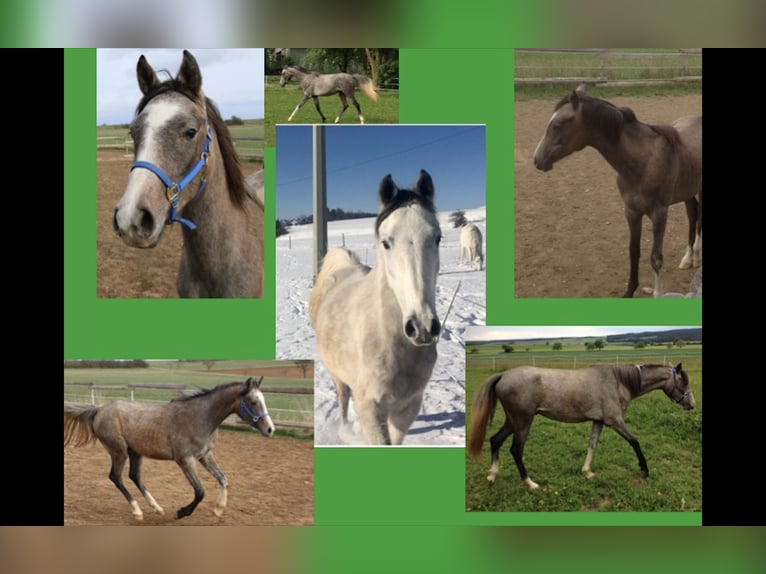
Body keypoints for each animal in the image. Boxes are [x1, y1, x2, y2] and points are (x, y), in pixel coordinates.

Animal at [63, 377, 274, 520]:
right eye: (253, 402)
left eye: (263, 400)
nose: (270, 429)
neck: (200, 417)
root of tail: (98, 409)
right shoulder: (185, 460)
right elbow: (200, 491)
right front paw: (182, 512)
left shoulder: (205, 455)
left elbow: (223, 479)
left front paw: (218, 509)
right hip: (118, 451)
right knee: (116, 477)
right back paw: (137, 511)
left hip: (135, 452)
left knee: (134, 476)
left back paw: (157, 508)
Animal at [309, 170, 442, 445]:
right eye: (386, 242)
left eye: (437, 238)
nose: (422, 327)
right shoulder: (370, 407)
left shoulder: (408, 407)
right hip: (338, 376)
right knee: (343, 398)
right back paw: (345, 429)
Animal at [467, 363, 695, 487]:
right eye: (683, 382)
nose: (692, 404)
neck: (619, 381)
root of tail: (504, 375)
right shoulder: (615, 421)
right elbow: (635, 442)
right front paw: (645, 470)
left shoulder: (599, 422)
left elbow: (592, 446)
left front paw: (587, 472)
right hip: (523, 421)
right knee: (516, 450)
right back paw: (529, 483)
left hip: (512, 421)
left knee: (495, 440)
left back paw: (492, 475)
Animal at [532, 87, 702, 297]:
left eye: (557, 124)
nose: (537, 159)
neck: (643, 161)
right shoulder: (632, 212)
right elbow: (633, 252)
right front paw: (629, 292)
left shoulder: (660, 213)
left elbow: (656, 258)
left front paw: (657, 293)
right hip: (688, 191)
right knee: (693, 214)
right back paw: (689, 258)